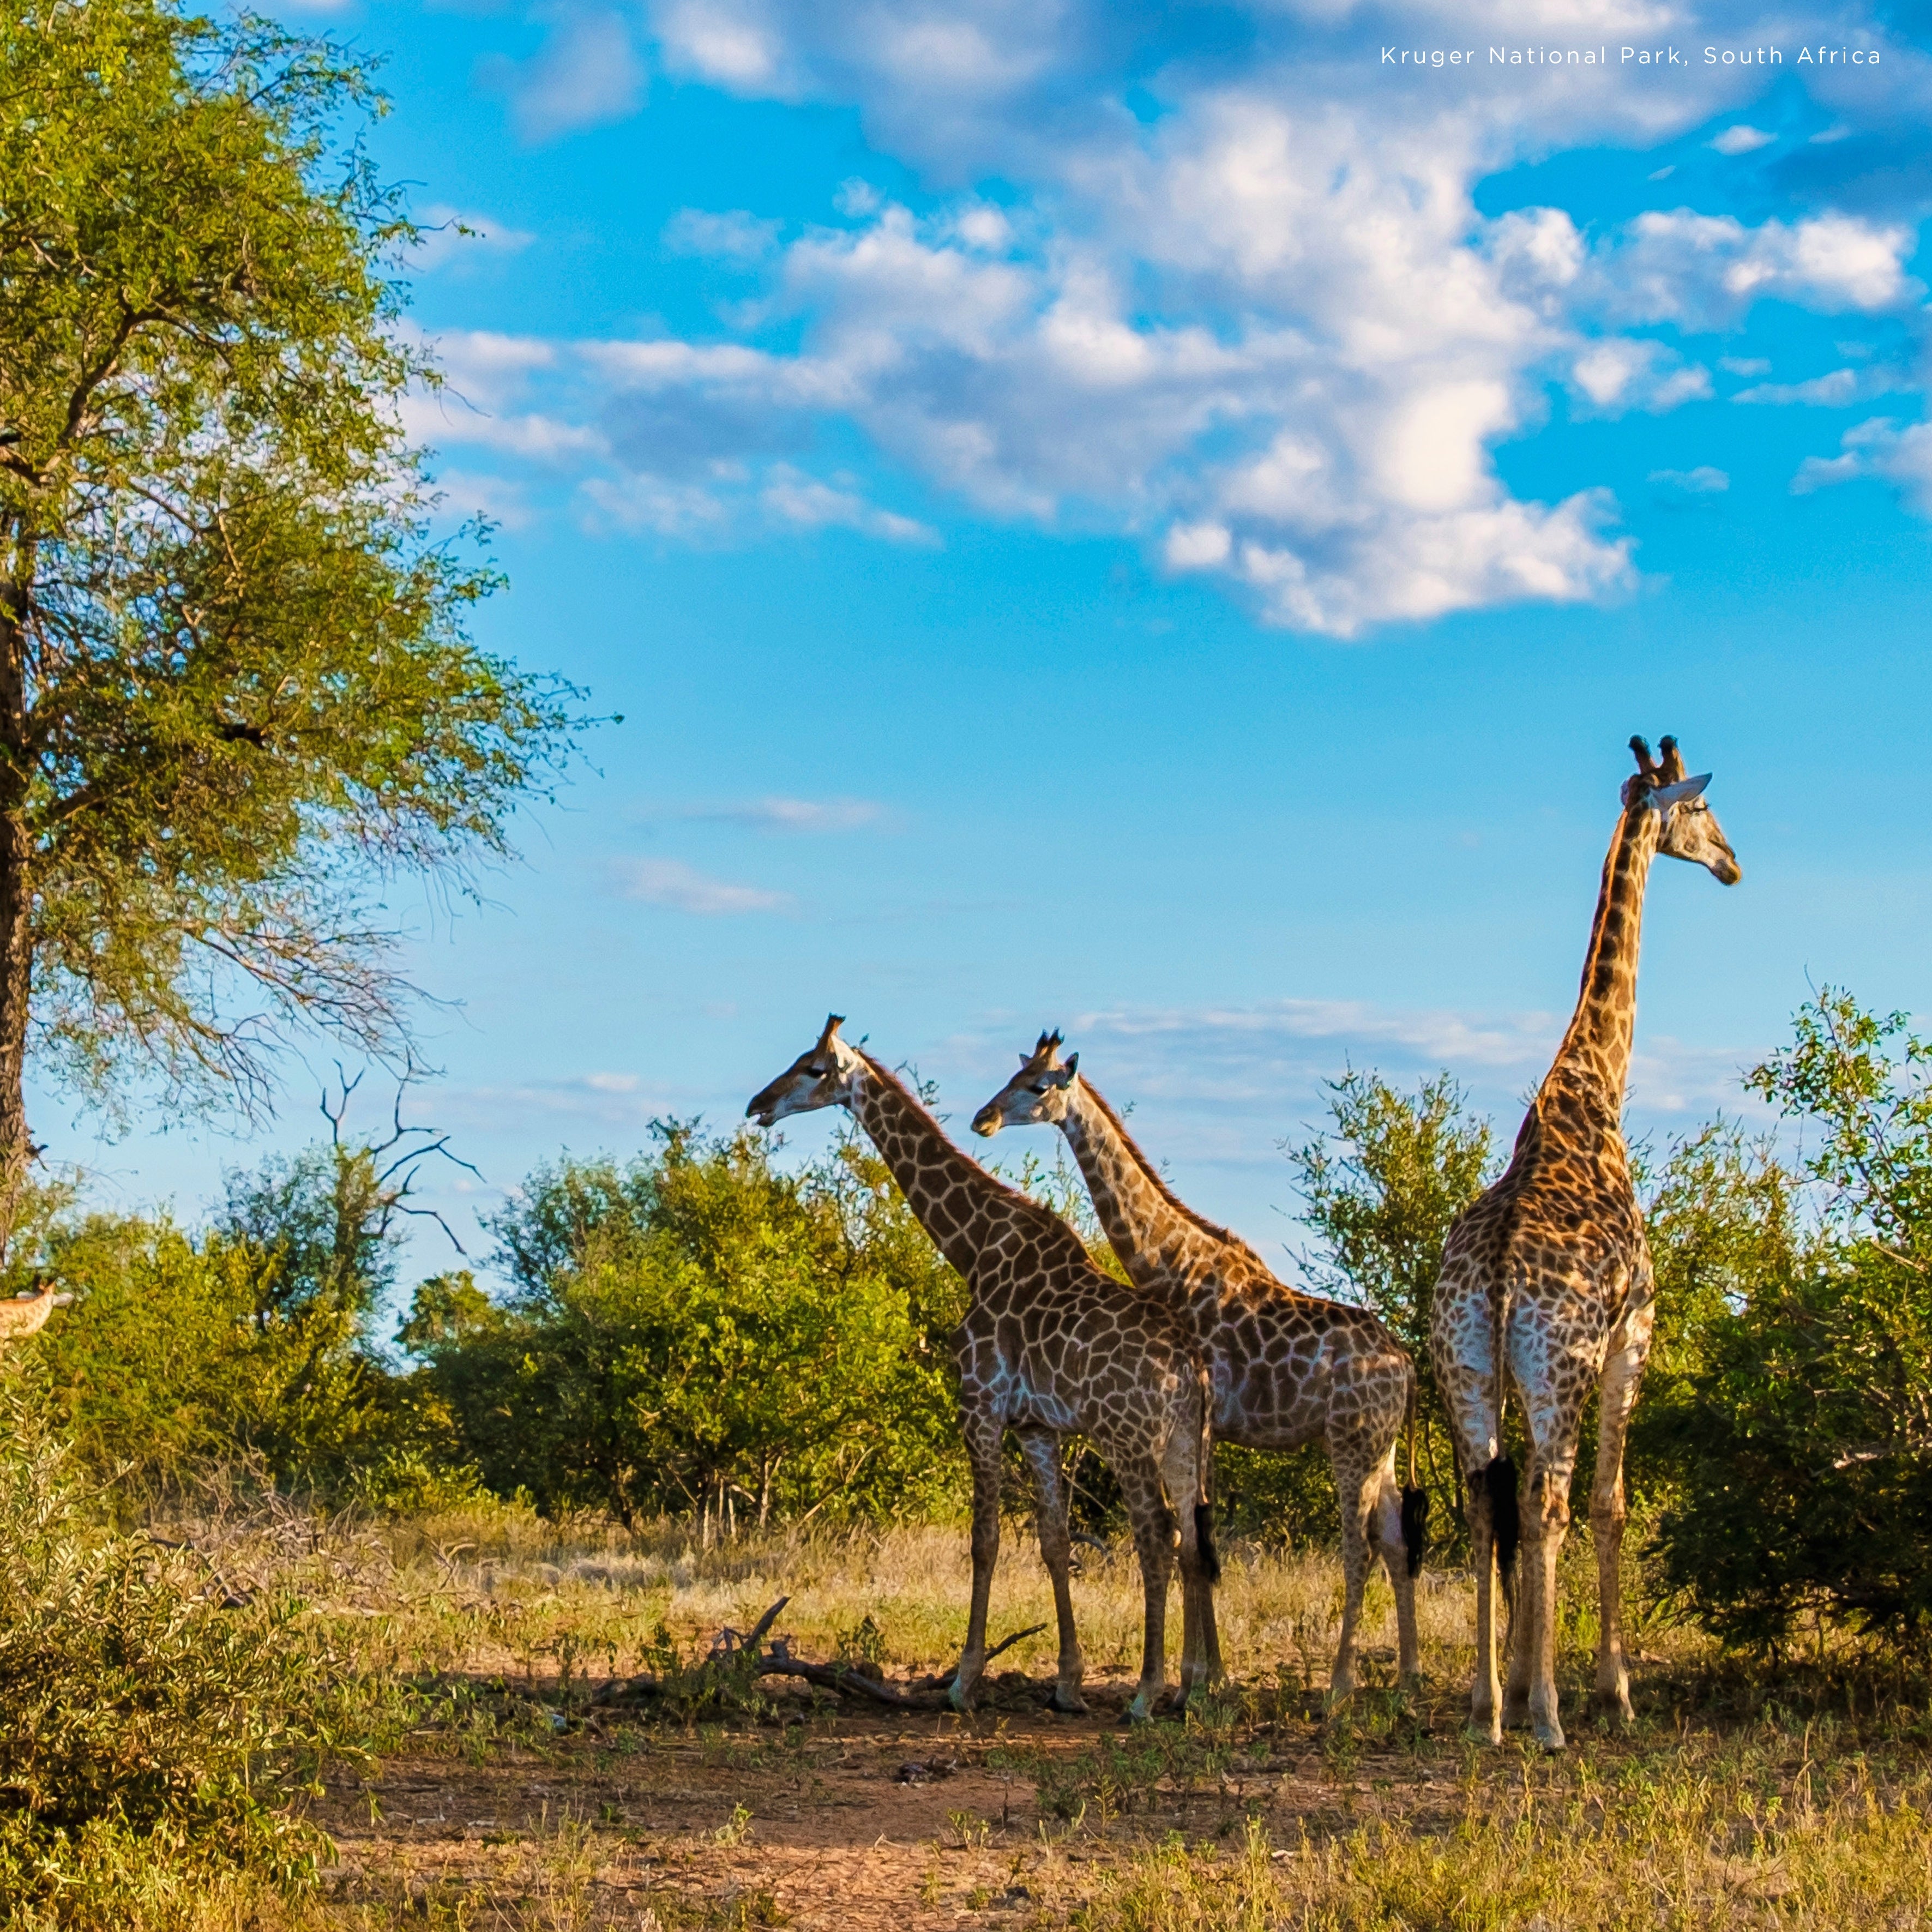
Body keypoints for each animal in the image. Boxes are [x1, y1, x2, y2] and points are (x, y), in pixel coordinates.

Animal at [745, 1020, 1213, 1716]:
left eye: (812, 1069)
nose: (758, 1105)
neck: (972, 1249)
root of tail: (1191, 1367)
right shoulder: (1037, 1427)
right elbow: (1053, 1541)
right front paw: (1067, 1684)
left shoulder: (980, 1408)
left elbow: (984, 1540)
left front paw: (964, 1681)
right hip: (1185, 1441)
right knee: (1190, 1535)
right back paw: (1192, 1688)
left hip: (1126, 1437)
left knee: (1156, 1537)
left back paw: (1146, 1694)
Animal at [973, 1043, 1429, 1692]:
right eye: (1014, 1074)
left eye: (1038, 1086)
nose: (982, 1118)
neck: (1168, 1263)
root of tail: (1409, 1366)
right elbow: (1198, 1536)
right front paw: (1208, 1673)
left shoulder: (1201, 1420)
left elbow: (1195, 1537)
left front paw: (1198, 1676)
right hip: (1381, 1448)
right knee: (1393, 1540)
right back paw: (1407, 1677)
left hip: (1352, 1442)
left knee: (1360, 1546)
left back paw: (1341, 1687)